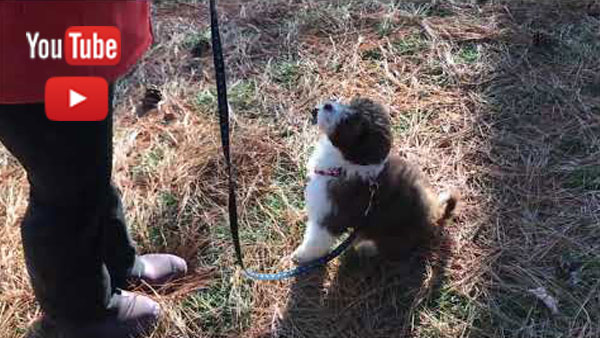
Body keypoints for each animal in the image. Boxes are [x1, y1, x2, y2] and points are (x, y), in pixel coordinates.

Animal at [292, 97, 458, 264]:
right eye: (350, 103)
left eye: (347, 121)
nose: (326, 105)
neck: (345, 163)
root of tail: (433, 215)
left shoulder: (330, 216)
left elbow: (316, 241)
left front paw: (301, 256)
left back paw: (366, 249)